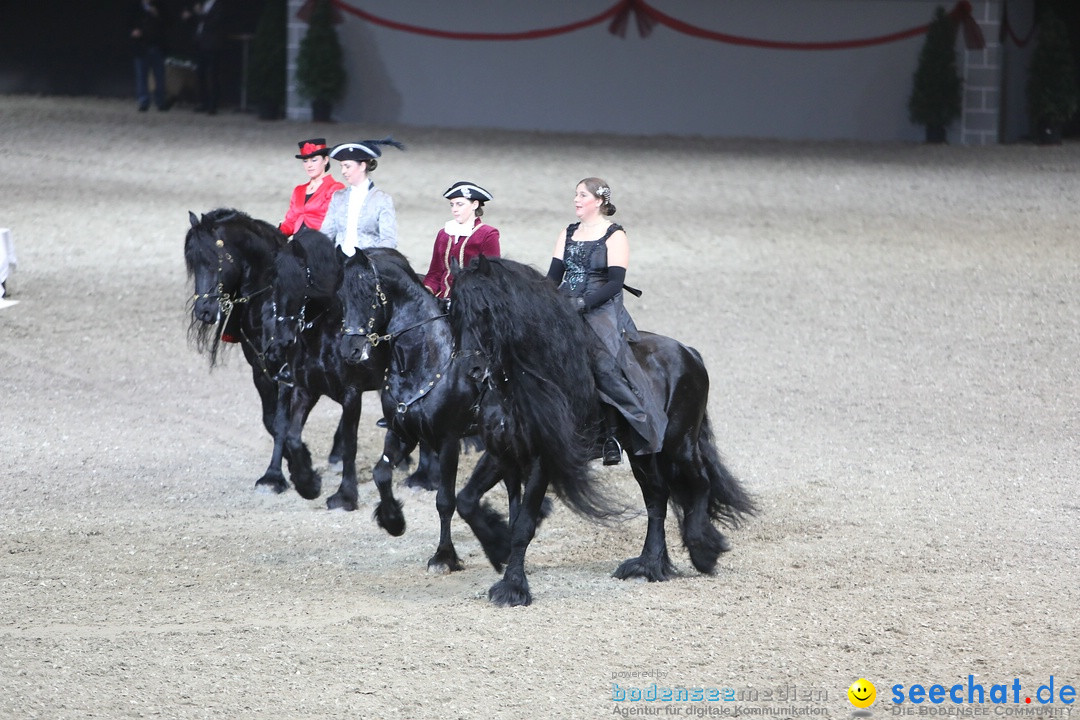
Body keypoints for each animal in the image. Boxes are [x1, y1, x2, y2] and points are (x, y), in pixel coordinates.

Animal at [183, 208, 345, 490]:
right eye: (193, 263)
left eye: (215, 260)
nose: (204, 311)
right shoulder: (261, 371)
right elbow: (272, 422)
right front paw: (298, 461)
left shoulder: (286, 372)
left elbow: (281, 422)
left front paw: (274, 477)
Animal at [265, 232, 438, 511]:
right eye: (273, 283)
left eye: (302, 281)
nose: (281, 342)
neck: (325, 333)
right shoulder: (305, 390)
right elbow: (292, 435)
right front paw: (308, 484)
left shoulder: (351, 394)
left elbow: (350, 444)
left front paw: (345, 496)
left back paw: (423, 478)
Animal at [447, 255, 760, 604]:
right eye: (453, 310)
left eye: (486, 311)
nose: (471, 370)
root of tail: (689, 352)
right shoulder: (502, 453)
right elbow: (469, 501)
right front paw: (499, 551)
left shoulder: (543, 458)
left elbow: (524, 524)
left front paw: (513, 588)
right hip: (642, 452)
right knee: (657, 498)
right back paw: (649, 565)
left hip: (679, 443)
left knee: (699, 482)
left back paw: (703, 552)